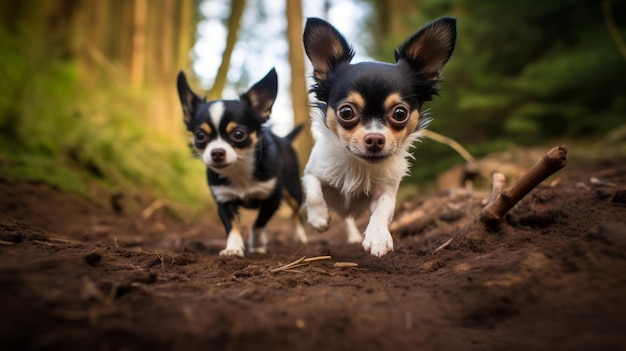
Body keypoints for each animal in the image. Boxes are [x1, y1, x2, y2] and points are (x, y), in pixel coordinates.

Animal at [177, 69, 306, 258]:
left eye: (238, 134)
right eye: (200, 136)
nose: (217, 152)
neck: (239, 170)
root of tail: (285, 139)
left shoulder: (272, 200)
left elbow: (258, 224)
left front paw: (257, 245)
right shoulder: (224, 201)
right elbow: (232, 226)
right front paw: (233, 248)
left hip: (293, 192)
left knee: (297, 213)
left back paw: (301, 236)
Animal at [302, 16, 454, 258]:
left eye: (400, 113)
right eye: (346, 112)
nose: (374, 139)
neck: (358, 165)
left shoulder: (386, 191)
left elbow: (383, 209)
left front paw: (378, 237)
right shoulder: (312, 173)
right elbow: (314, 191)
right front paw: (318, 218)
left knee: (348, 220)